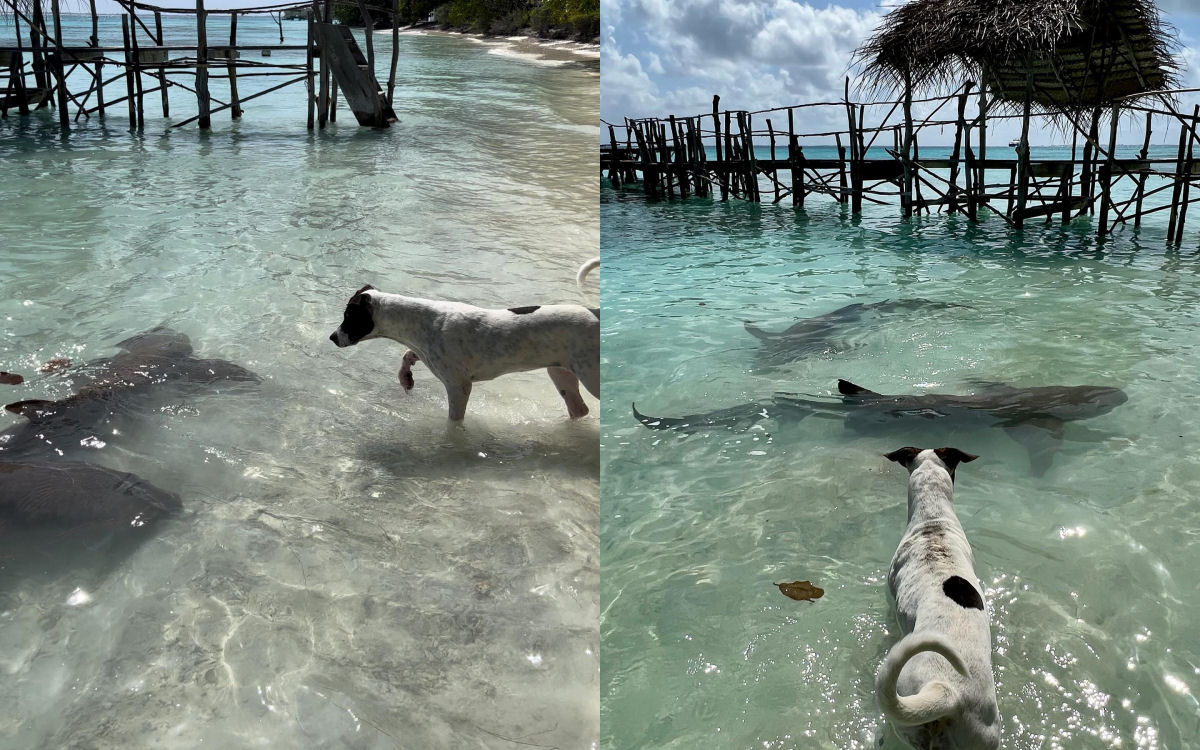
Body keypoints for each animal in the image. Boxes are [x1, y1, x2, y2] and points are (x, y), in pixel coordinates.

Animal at [328, 261, 600, 422]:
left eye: (348, 317)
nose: (332, 337)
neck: (421, 321)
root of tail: (595, 311)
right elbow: (407, 355)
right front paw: (406, 378)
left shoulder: (458, 387)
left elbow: (454, 421)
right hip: (561, 373)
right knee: (580, 410)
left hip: (590, 376)